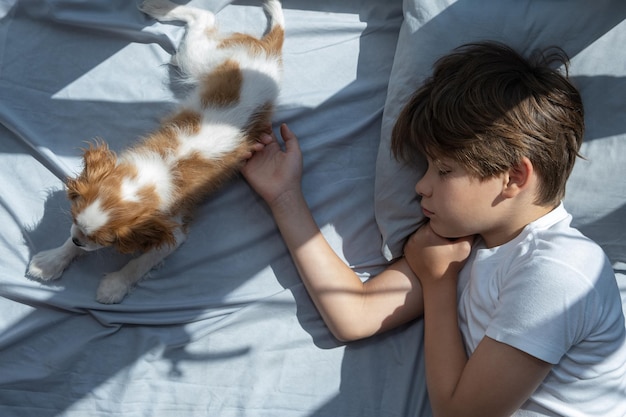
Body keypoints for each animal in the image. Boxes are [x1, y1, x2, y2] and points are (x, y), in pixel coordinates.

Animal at [26, 0, 284, 302]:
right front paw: (53, 260)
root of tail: (268, 52)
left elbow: (140, 262)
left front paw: (115, 285)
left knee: (205, 17)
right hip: (201, 60)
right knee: (204, 17)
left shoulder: (171, 229)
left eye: (105, 241)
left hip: (200, 59)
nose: (79, 240)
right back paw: (161, 10)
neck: (143, 181)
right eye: (74, 219)